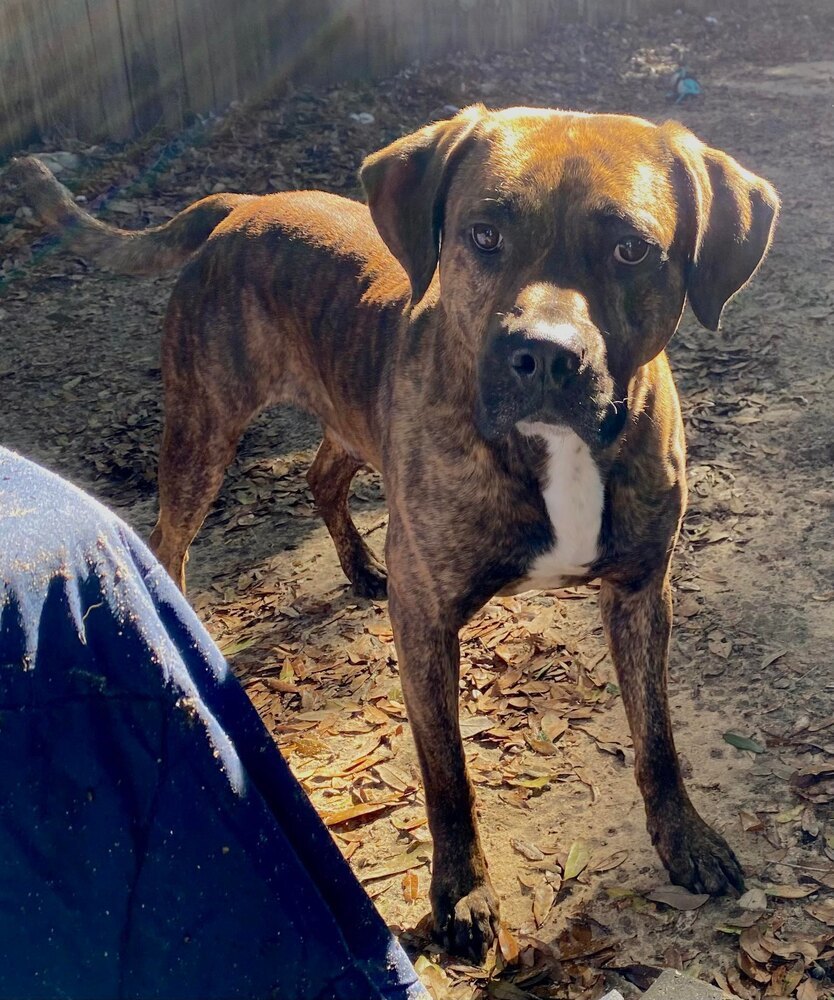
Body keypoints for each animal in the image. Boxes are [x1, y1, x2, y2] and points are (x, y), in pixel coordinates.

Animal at [6, 103, 776, 960]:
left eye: (631, 248)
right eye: (483, 234)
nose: (543, 355)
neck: (555, 450)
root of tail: (243, 204)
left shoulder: (642, 593)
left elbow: (658, 737)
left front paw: (685, 838)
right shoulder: (427, 619)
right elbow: (447, 773)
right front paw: (463, 893)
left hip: (347, 415)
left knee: (320, 477)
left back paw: (360, 565)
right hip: (203, 430)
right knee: (171, 537)